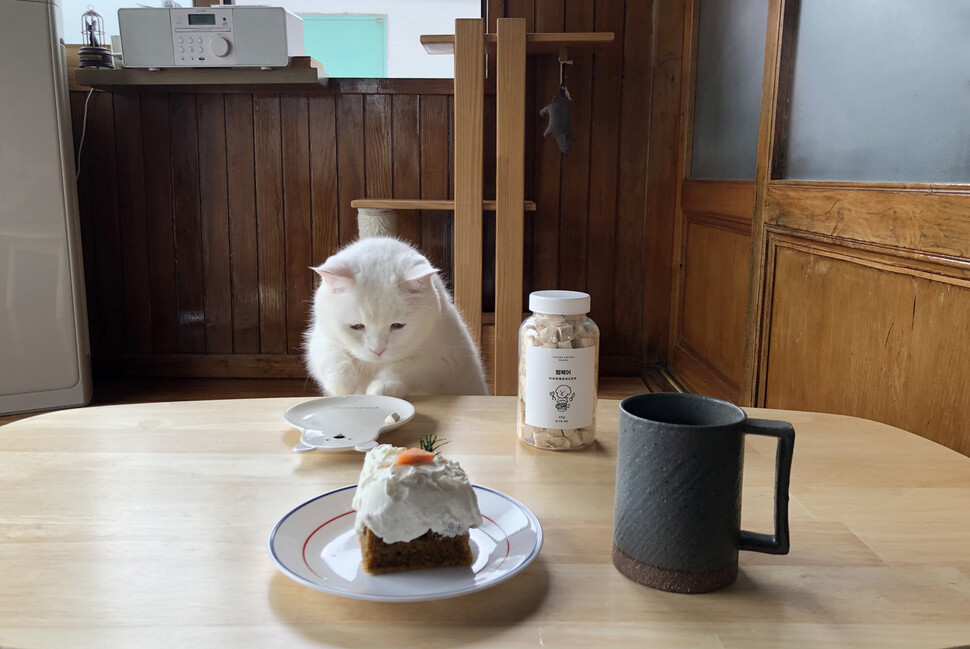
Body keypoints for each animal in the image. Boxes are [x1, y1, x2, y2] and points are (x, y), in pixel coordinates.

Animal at [304, 235, 488, 398]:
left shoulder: (442, 360)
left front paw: (381, 387)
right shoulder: (320, 336)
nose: (378, 350)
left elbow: (405, 367)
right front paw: (345, 384)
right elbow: (331, 355)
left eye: (397, 325)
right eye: (356, 326)